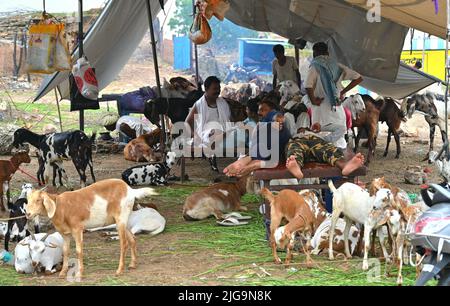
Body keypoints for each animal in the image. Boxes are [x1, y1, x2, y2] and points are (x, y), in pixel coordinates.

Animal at [25, 178, 158, 278]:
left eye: (38, 200)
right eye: (27, 200)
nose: (27, 214)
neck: (60, 207)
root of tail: (130, 190)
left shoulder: (77, 229)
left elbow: (79, 251)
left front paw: (79, 273)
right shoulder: (65, 233)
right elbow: (66, 251)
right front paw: (62, 273)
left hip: (121, 218)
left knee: (123, 243)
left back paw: (119, 270)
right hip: (122, 221)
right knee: (132, 239)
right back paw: (132, 264)